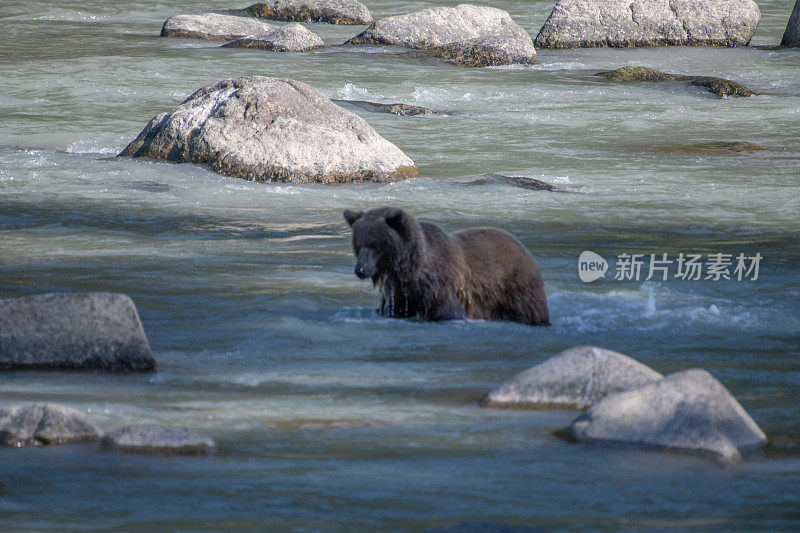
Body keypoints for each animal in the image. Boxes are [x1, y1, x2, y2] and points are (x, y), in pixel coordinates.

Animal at [344, 207, 552, 324]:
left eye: (374, 244)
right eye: (358, 244)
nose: (360, 270)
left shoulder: (439, 284)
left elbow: (446, 311)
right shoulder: (399, 293)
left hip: (516, 288)